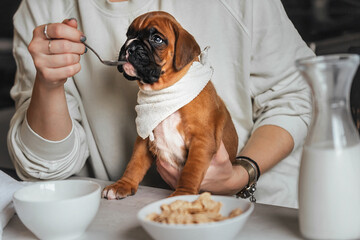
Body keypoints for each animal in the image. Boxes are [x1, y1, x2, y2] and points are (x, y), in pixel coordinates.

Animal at [101, 10, 238, 199]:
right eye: (129, 35)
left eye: (157, 39)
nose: (130, 46)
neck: (164, 91)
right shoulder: (144, 138)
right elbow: (135, 163)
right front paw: (123, 184)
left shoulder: (202, 140)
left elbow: (191, 170)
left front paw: (183, 194)